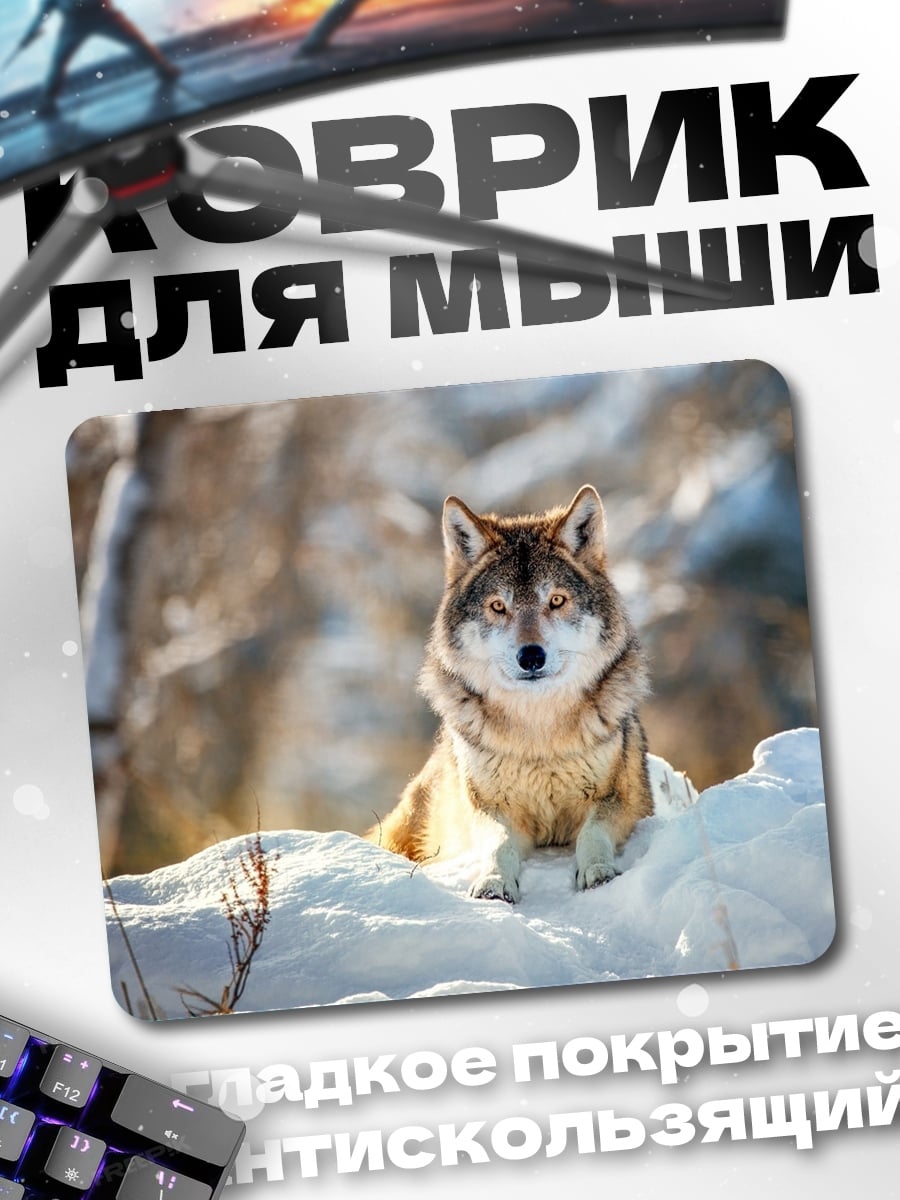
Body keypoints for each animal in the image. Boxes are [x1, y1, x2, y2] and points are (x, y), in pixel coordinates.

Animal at [368, 485, 653, 903]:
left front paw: (598, 871)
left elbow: (592, 834)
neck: (538, 739)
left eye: (556, 600)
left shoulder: (619, 800)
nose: (531, 656)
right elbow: (498, 844)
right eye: (498, 606)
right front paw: (493, 882)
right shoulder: (488, 808)